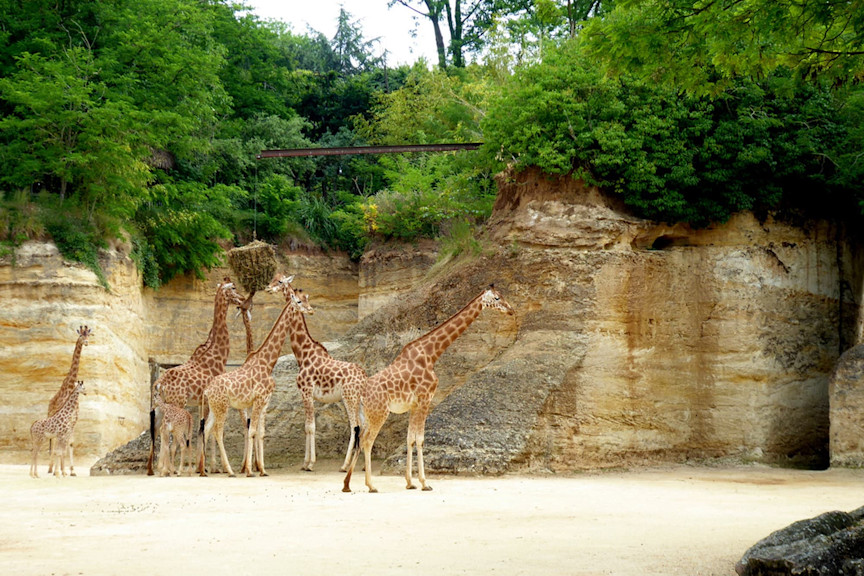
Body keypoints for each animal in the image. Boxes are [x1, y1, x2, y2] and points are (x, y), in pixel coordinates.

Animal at [46, 325, 91, 476]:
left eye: (89, 335)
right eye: (81, 336)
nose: (87, 342)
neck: (70, 386)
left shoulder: (73, 421)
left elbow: (70, 443)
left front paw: (71, 470)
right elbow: (62, 443)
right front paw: (61, 469)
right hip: (50, 417)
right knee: (54, 440)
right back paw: (51, 468)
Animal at [147, 278, 247, 476]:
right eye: (233, 287)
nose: (242, 299)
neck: (217, 354)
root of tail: (159, 384)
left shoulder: (204, 402)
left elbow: (203, 430)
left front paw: (205, 466)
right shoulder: (208, 401)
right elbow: (207, 430)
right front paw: (209, 466)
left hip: (161, 406)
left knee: (156, 430)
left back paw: (154, 469)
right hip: (177, 403)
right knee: (167, 433)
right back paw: (169, 469)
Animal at [199, 274, 313, 477]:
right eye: (300, 301)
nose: (311, 309)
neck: (267, 363)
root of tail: (207, 390)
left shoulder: (263, 400)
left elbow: (259, 432)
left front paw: (262, 469)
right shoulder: (259, 398)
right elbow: (252, 431)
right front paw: (250, 470)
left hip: (213, 407)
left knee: (206, 429)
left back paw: (202, 470)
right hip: (223, 406)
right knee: (218, 431)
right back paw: (229, 470)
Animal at [268, 273, 366, 472]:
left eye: (280, 281)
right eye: (273, 279)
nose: (268, 288)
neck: (303, 354)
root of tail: (364, 376)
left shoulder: (307, 391)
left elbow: (311, 426)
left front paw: (311, 463)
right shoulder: (306, 394)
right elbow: (306, 426)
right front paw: (305, 462)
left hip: (349, 398)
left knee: (355, 426)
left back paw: (345, 465)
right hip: (358, 401)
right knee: (365, 425)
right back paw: (361, 464)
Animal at [343, 285, 514, 493]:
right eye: (497, 298)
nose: (511, 310)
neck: (431, 354)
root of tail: (361, 396)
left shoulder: (414, 405)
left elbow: (410, 439)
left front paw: (410, 482)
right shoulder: (426, 399)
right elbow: (420, 439)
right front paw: (425, 483)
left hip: (368, 415)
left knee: (360, 440)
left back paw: (347, 484)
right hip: (380, 413)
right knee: (368, 441)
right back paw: (371, 485)